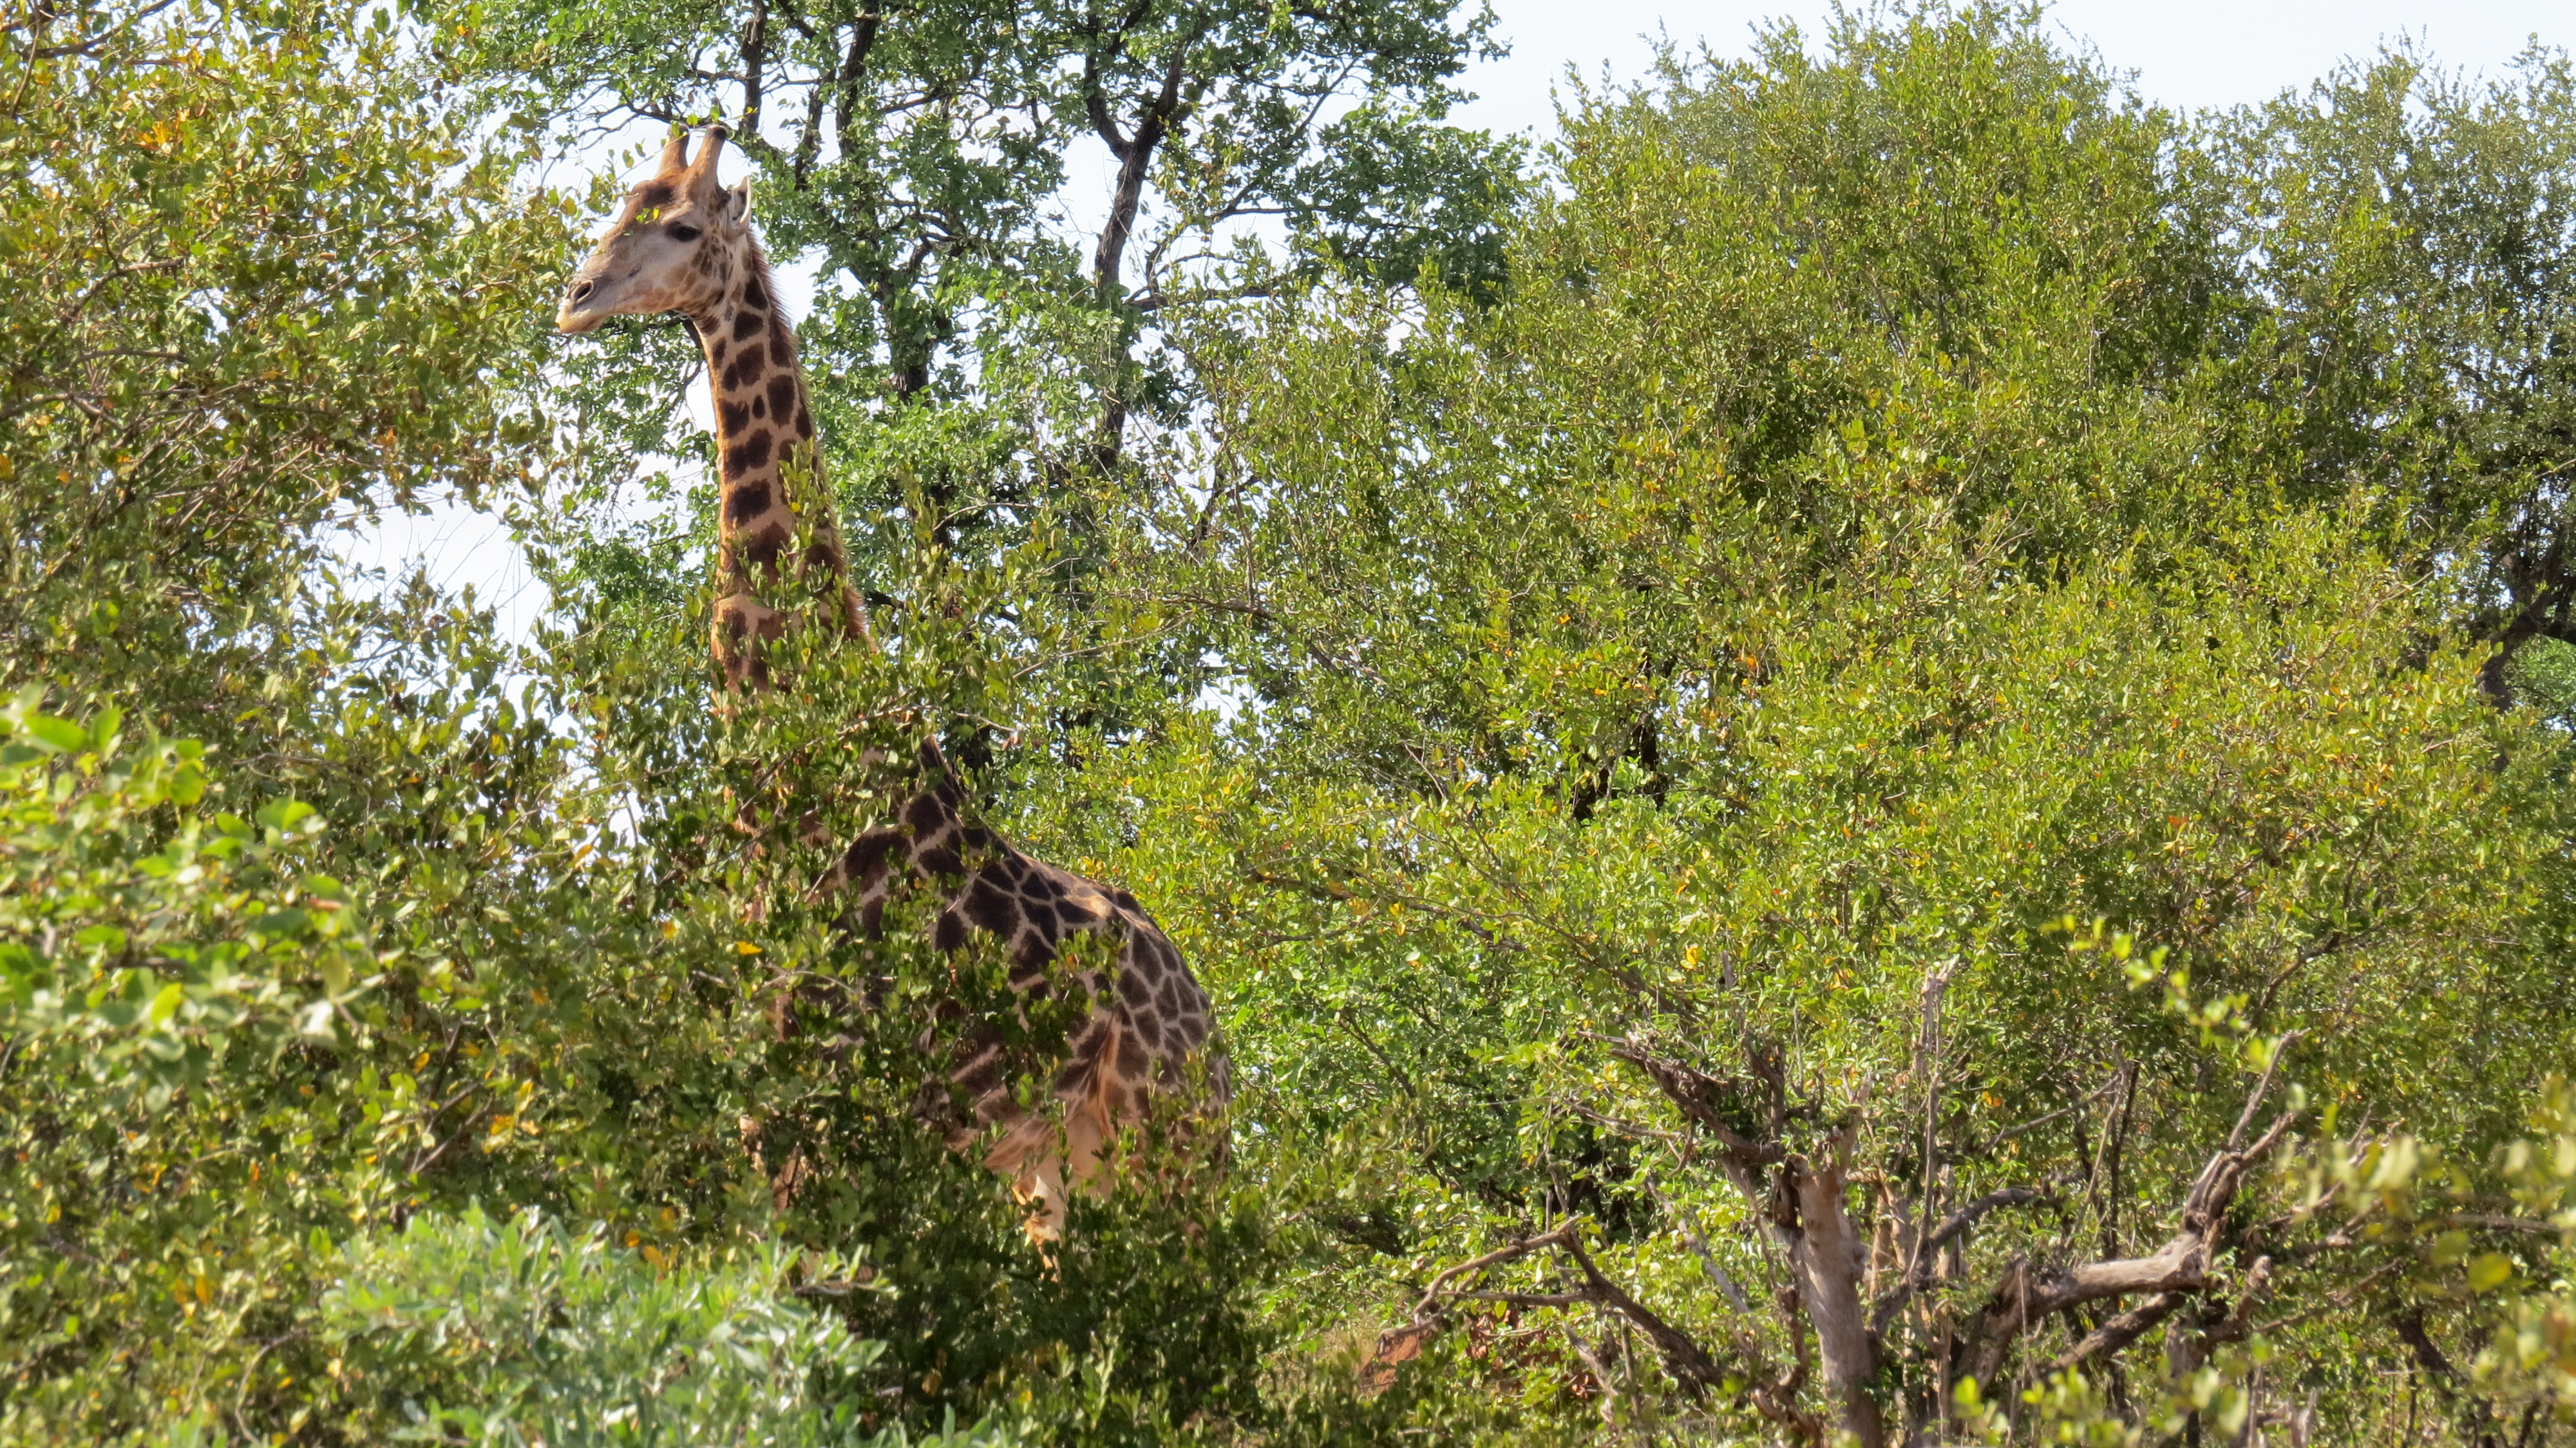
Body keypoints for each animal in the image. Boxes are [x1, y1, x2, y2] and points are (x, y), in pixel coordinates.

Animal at [556, 125, 1223, 1236]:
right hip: (1057, 1169)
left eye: (683, 226)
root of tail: (1212, 1022)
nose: (577, 294)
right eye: (617, 208)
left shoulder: (827, 1101)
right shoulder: (770, 1101)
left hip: (1163, 1143)